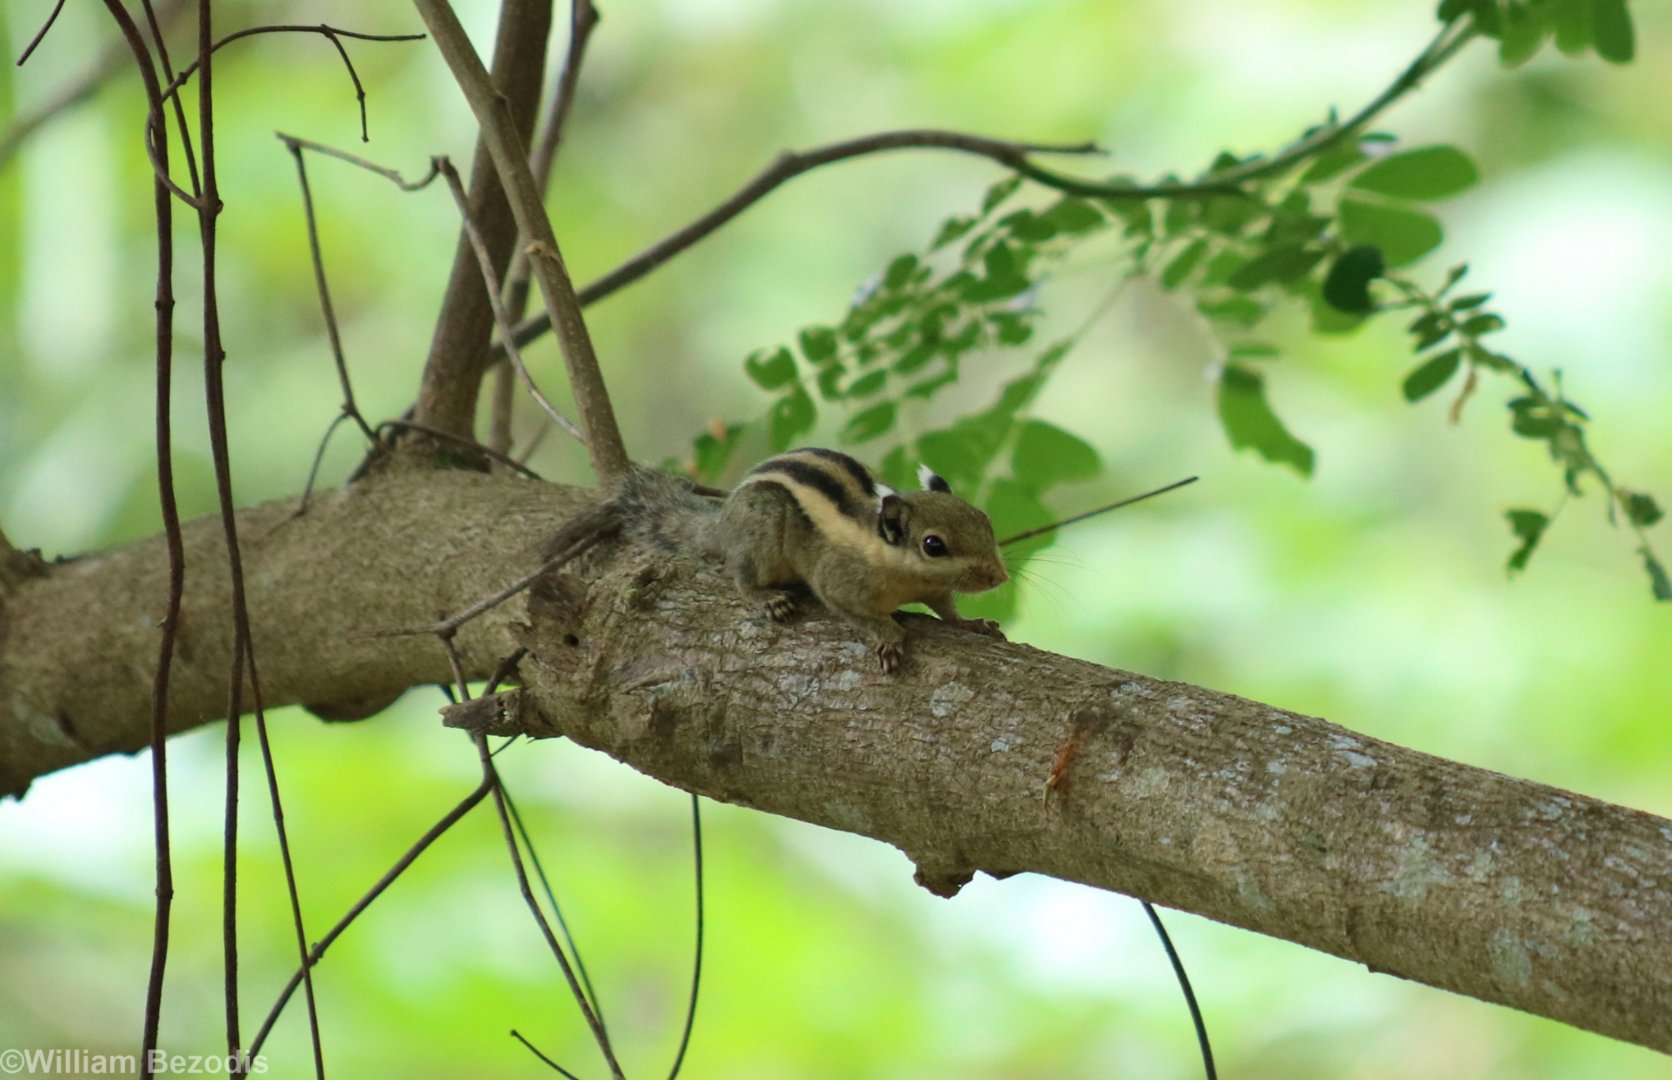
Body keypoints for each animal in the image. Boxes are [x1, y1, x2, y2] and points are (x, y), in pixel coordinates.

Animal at [546, 447, 1009, 672]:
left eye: (985, 520)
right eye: (934, 545)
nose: (1000, 577)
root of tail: (723, 526)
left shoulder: (935, 588)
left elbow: (947, 609)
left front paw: (972, 624)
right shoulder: (836, 580)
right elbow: (851, 611)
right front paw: (888, 637)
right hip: (762, 532)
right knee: (740, 575)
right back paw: (765, 597)